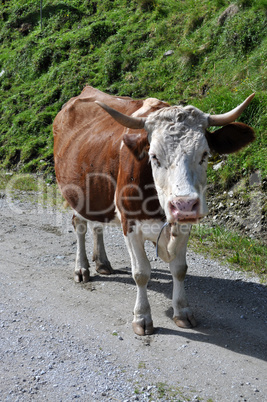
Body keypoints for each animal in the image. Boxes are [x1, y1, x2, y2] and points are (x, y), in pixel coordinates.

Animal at [53, 85, 256, 336]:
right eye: (154, 157)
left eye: (205, 155)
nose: (184, 204)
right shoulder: (130, 223)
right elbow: (141, 272)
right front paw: (142, 317)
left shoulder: (183, 225)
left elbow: (179, 269)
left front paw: (182, 312)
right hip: (76, 194)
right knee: (80, 225)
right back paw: (82, 269)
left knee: (97, 225)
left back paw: (102, 262)